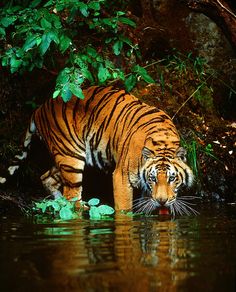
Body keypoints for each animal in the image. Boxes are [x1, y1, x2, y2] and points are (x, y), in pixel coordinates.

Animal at [0, 85, 195, 216]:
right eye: (153, 178)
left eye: (172, 178)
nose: (162, 201)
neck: (164, 141)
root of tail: (40, 108)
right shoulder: (121, 177)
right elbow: (124, 209)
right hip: (71, 159)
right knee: (71, 197)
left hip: (65, 156)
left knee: (46, 177)